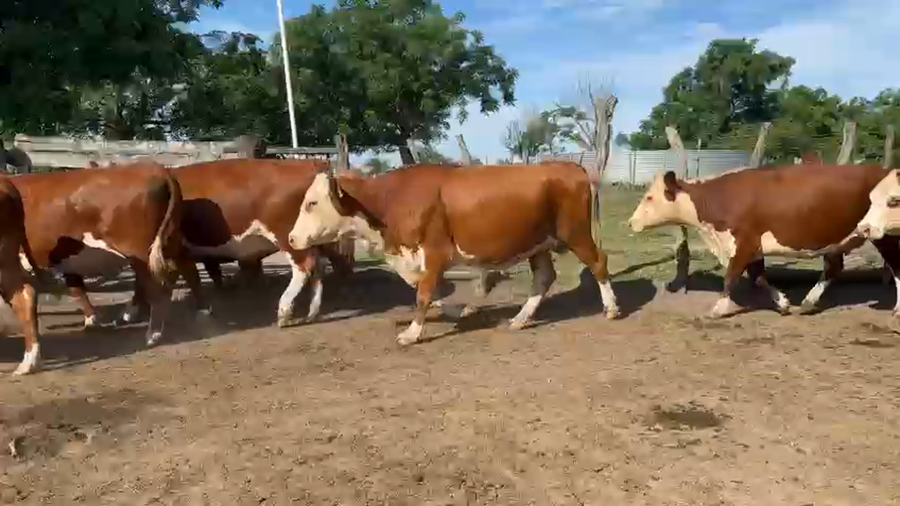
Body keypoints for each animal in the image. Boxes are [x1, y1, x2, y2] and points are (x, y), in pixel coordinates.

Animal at [13, 161, 200, 354]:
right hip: (169, 240)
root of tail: (155, 167)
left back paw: (153, 333)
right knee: (183, 267)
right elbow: (77, 288)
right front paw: (92, 320)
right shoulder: (67, 259)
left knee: (157, 284)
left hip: (140, 250)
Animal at [287, 161, 621, 346]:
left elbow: (424, 294)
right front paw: (459, 311)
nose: (291, 237)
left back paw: (612, 308)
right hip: (537, 243)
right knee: (544, 277)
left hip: (575, 233)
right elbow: (431, 293)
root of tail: (568, 166)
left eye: (312, 203)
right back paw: (520, 319)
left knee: (598, 262)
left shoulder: (434, 252)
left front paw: (412, 333)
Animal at [627, 164, 900, 318]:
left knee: (895, 268)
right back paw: (808, 302)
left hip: (885, 235)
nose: (631, 222)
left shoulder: (744, 242)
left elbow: (731, 277)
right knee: (834, 268)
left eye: (649, 197)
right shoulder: (753, 248)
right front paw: (783, 303)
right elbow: (758, 278)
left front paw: (717, 309)